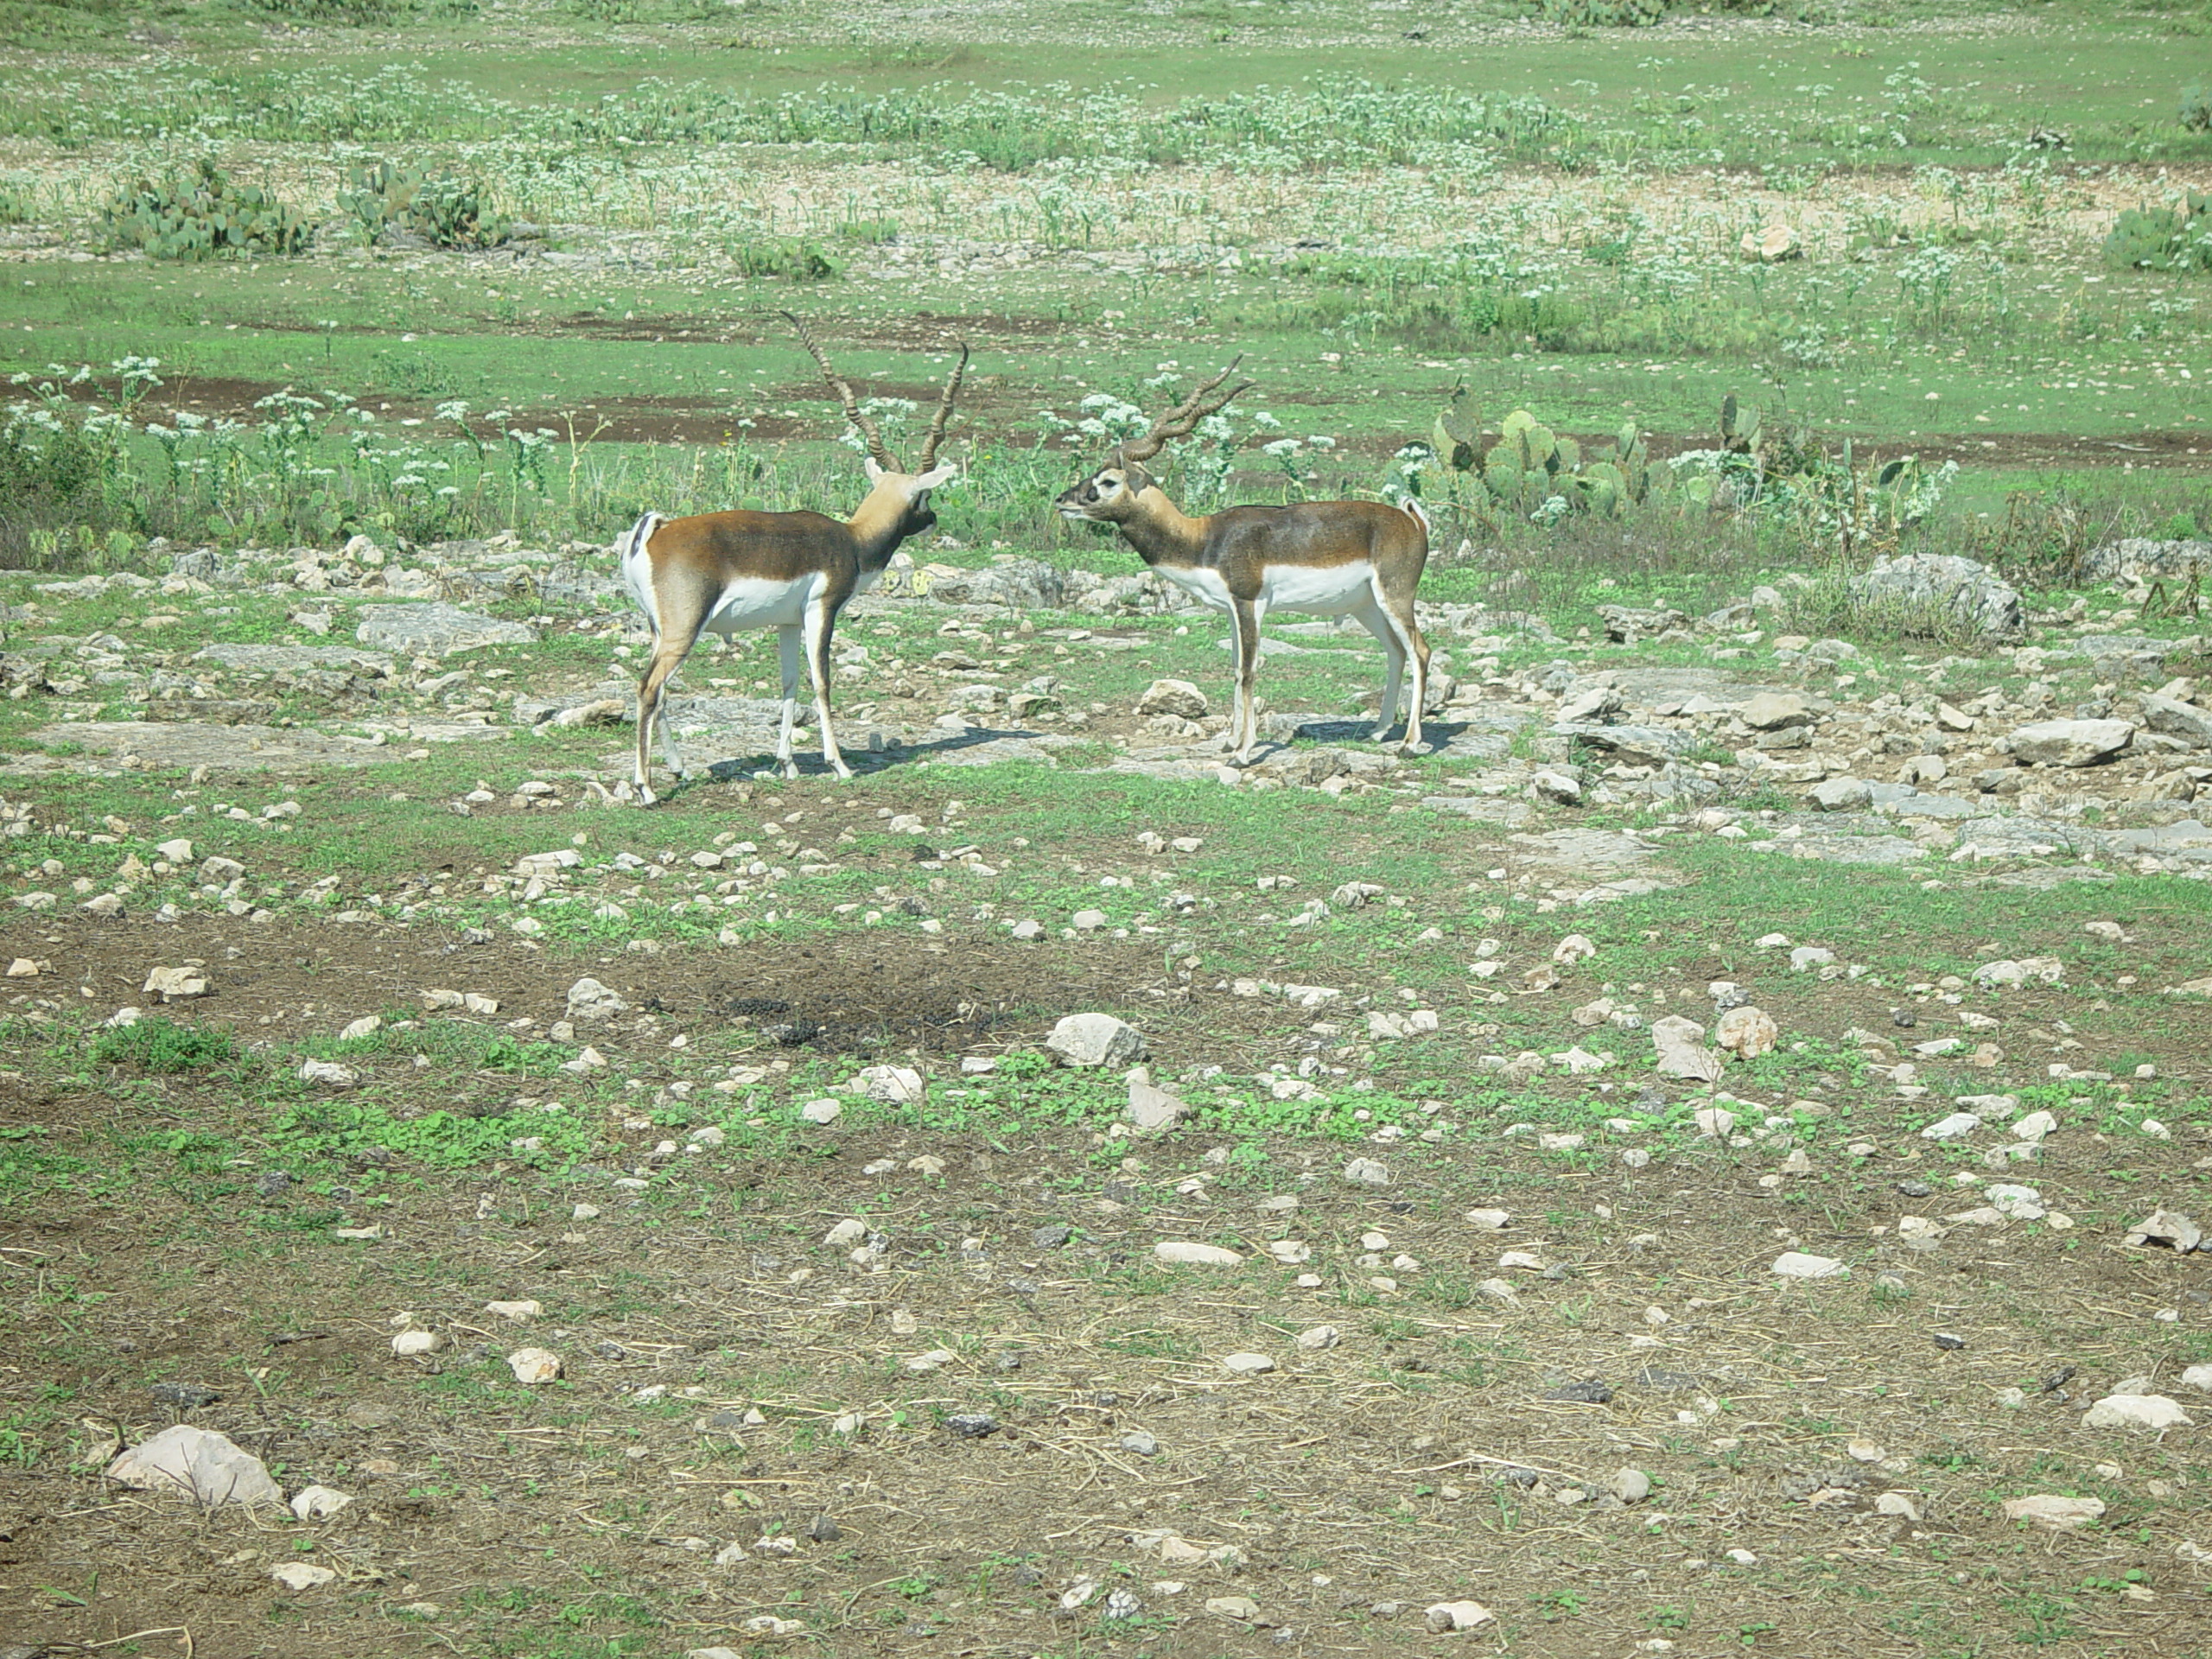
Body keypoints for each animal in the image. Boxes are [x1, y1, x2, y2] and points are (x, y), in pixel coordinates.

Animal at [1052, 362, 1433, 765]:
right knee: (1396, 651)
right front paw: (1230, 741)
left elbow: (1248, 670)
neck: (1203, 539)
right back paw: (1378, 731)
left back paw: (1410, 744)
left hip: (1395, 596)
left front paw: (1244, 752)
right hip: (1367, 606)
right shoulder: (1230, 610)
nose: (1062, 500)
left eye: (1107, 481)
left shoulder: (1250, 603)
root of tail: (1412, 521)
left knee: (1420, 652)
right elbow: (1235, 669)